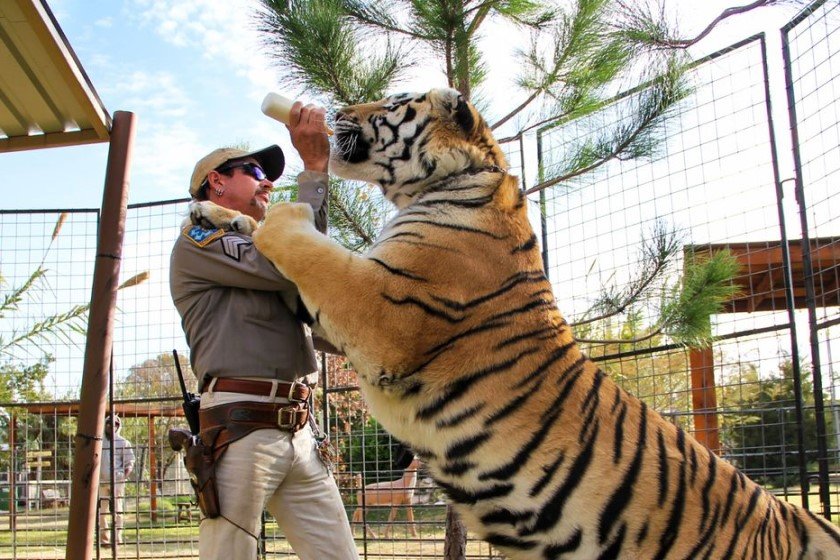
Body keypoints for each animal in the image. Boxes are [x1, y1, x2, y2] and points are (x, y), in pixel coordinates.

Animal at [194, 88, 840, 560]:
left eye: (391, 102)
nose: (336, 112)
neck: (452, 181)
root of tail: (790, 519)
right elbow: (261, 235)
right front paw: (211, 210)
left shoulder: (380, 308)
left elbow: (299, 239)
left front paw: (278, 211)